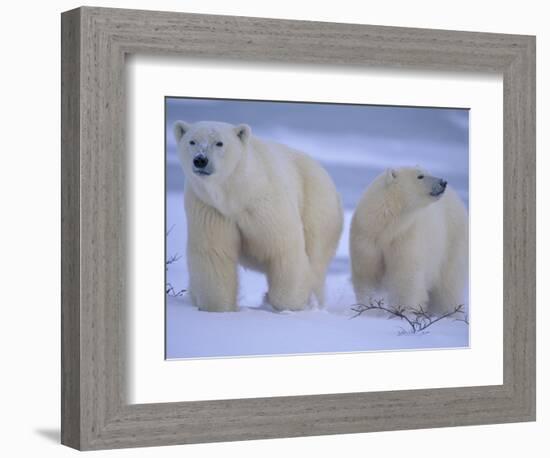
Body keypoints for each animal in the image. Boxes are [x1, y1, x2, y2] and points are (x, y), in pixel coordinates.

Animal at [175, 120, 342, 314]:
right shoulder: (209, 208)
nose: (200, 160)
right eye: (192, 141)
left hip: (316, 205)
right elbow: (214, 253)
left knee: (315, 257)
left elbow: (283, 249)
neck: (237, 194)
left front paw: (289, 306)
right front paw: (218, 308)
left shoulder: (265, 204)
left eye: (219, 143)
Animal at [352, 167, 468, 314]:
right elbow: (367, 277)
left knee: (448, 285)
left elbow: (405, 279)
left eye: (427, 172)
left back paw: (449, 312)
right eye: (420, 176)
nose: (443, 182)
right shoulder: (367, 239)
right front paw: (370, 311)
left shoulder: (405, 236)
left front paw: (402, 313)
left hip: (451, 242)